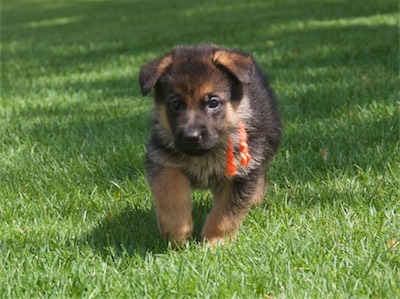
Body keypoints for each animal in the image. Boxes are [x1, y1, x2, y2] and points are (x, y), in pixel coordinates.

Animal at [139, 43, 282, 247]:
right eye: (175, 105)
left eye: (213, 103)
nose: (190, 137)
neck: (206, 155)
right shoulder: (164, 162)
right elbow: (171, 197)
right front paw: (177, 232)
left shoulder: (239, 175)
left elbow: (224, 216)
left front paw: (215, 241)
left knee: (260, 174)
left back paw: (255, 199)